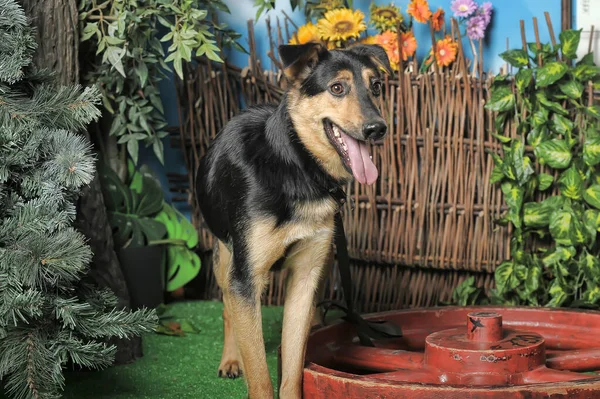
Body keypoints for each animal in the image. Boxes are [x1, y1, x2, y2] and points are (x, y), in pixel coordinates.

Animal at [196, 42, 394, 398]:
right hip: (225, 258)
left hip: (324, 259)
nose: (377, 128)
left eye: (375, 87)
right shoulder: (245, 279)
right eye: (337, 88)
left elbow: (292, 365)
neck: (299, 167)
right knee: (228, 310)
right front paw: (246, 366)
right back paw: (231, 360)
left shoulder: (305, 276)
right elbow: (260, 373)